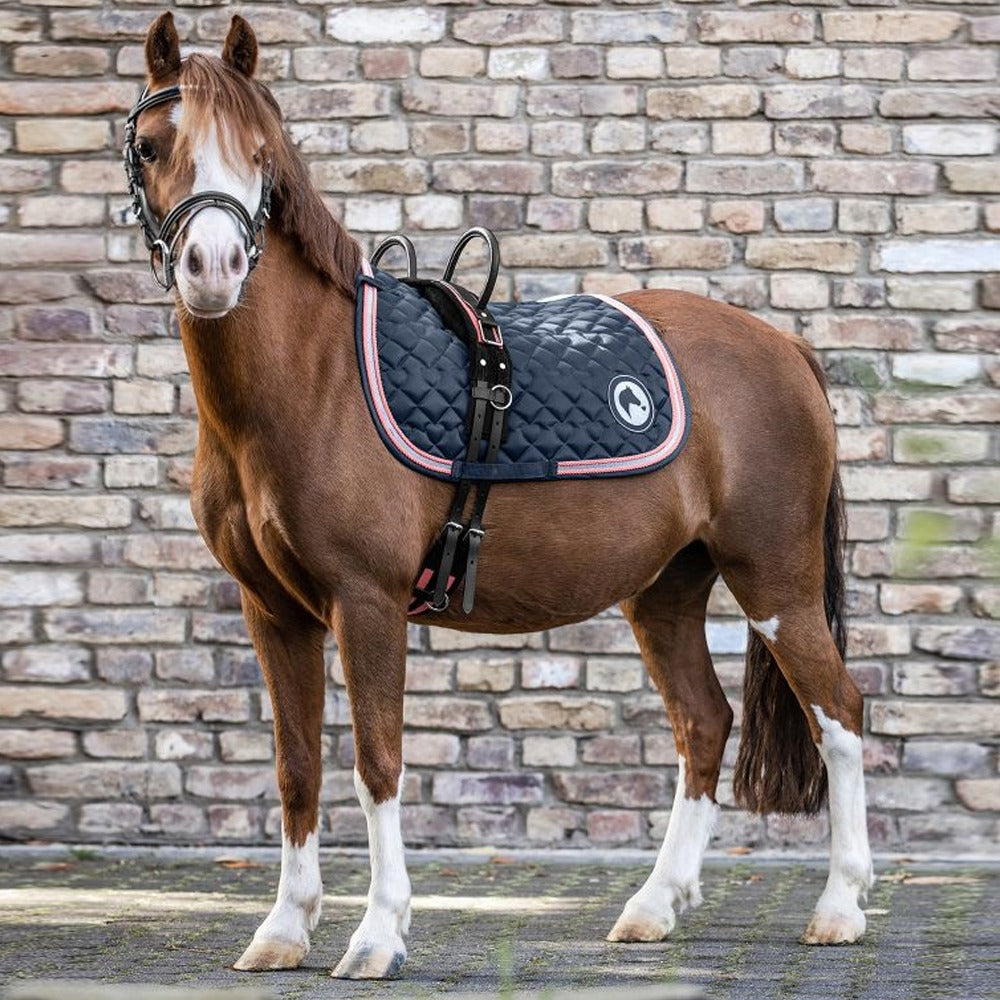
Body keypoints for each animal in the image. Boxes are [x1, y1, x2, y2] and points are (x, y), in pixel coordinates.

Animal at [124, 12, 873, 980]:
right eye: (150, 146)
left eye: (261, 154)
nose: (212, 267)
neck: (315, 380)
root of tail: (788, 348)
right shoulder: (272, 610)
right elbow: (297, 767)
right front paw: (283, 930)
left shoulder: (366, 603)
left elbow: (377, 761)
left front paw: (377, 936)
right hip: (667, 591)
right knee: (703, 725)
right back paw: (652, 907)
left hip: (775, 581)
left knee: (840, 715)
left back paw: (839, 908)